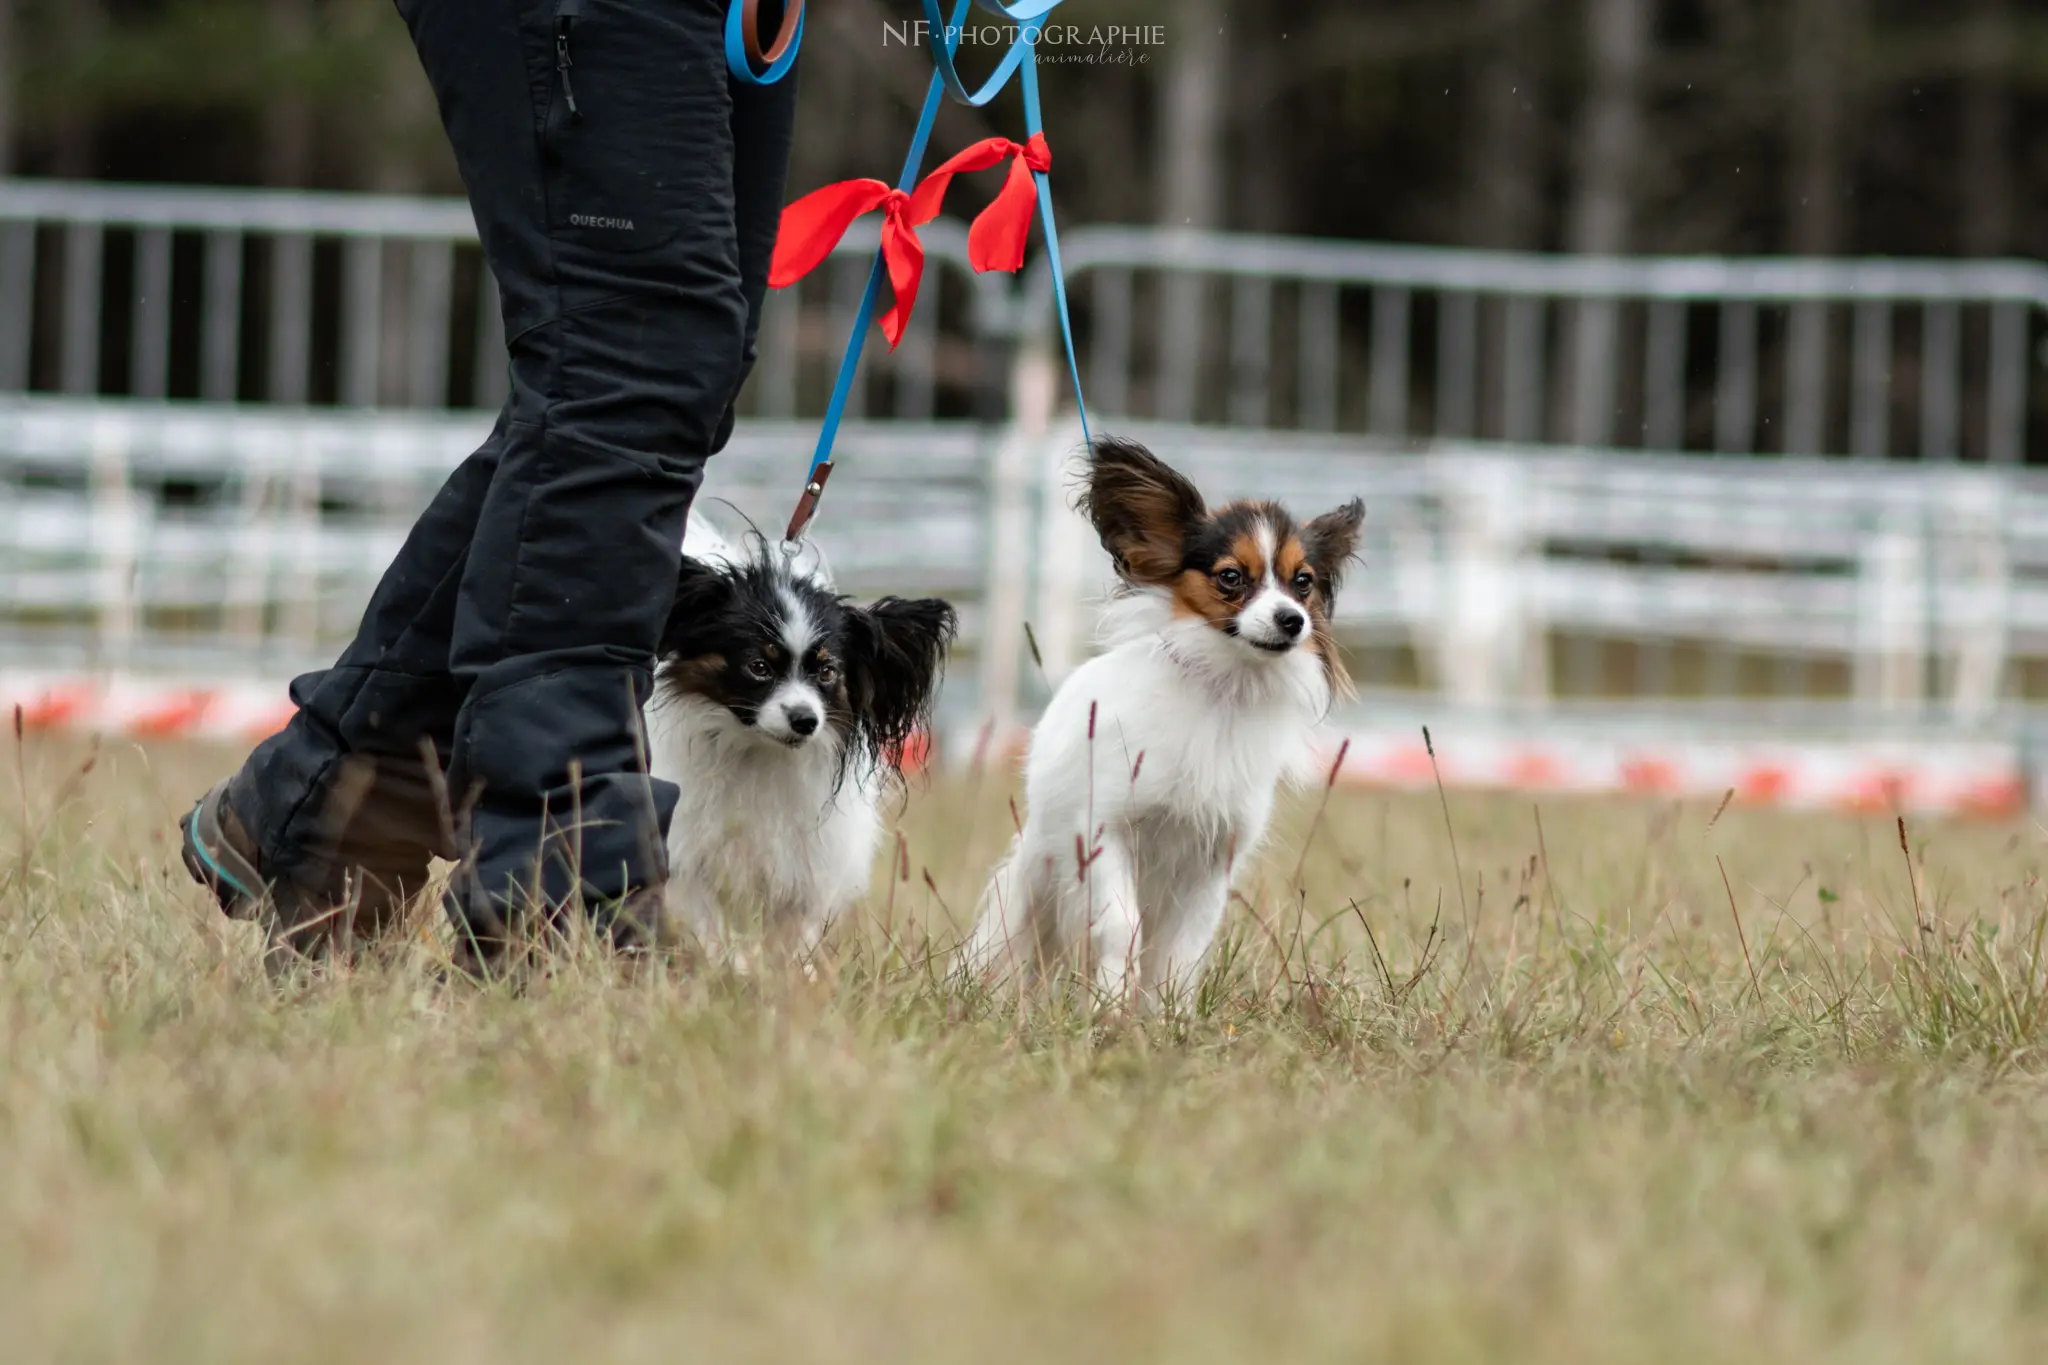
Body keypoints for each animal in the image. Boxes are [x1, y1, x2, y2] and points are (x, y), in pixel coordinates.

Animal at [647, 511, 958, 970]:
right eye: (759, 667)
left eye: (827, 672)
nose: (805, 720)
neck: (759, 752)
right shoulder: (692, 860)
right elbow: (711, 928)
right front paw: (728, 971)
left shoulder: (805, 870)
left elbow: (792, 938)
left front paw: (790, 977)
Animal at [954, 444, 1359, 1010]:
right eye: (1231, 577)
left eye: (1303, 583)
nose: (1292, 620)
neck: (1223, 687)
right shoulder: (1103, 831)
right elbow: (1123, 929)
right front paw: (1108, 1007)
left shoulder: (1213, 859)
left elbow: (1181, 954)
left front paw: (1169, 1019)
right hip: (1033, 882)